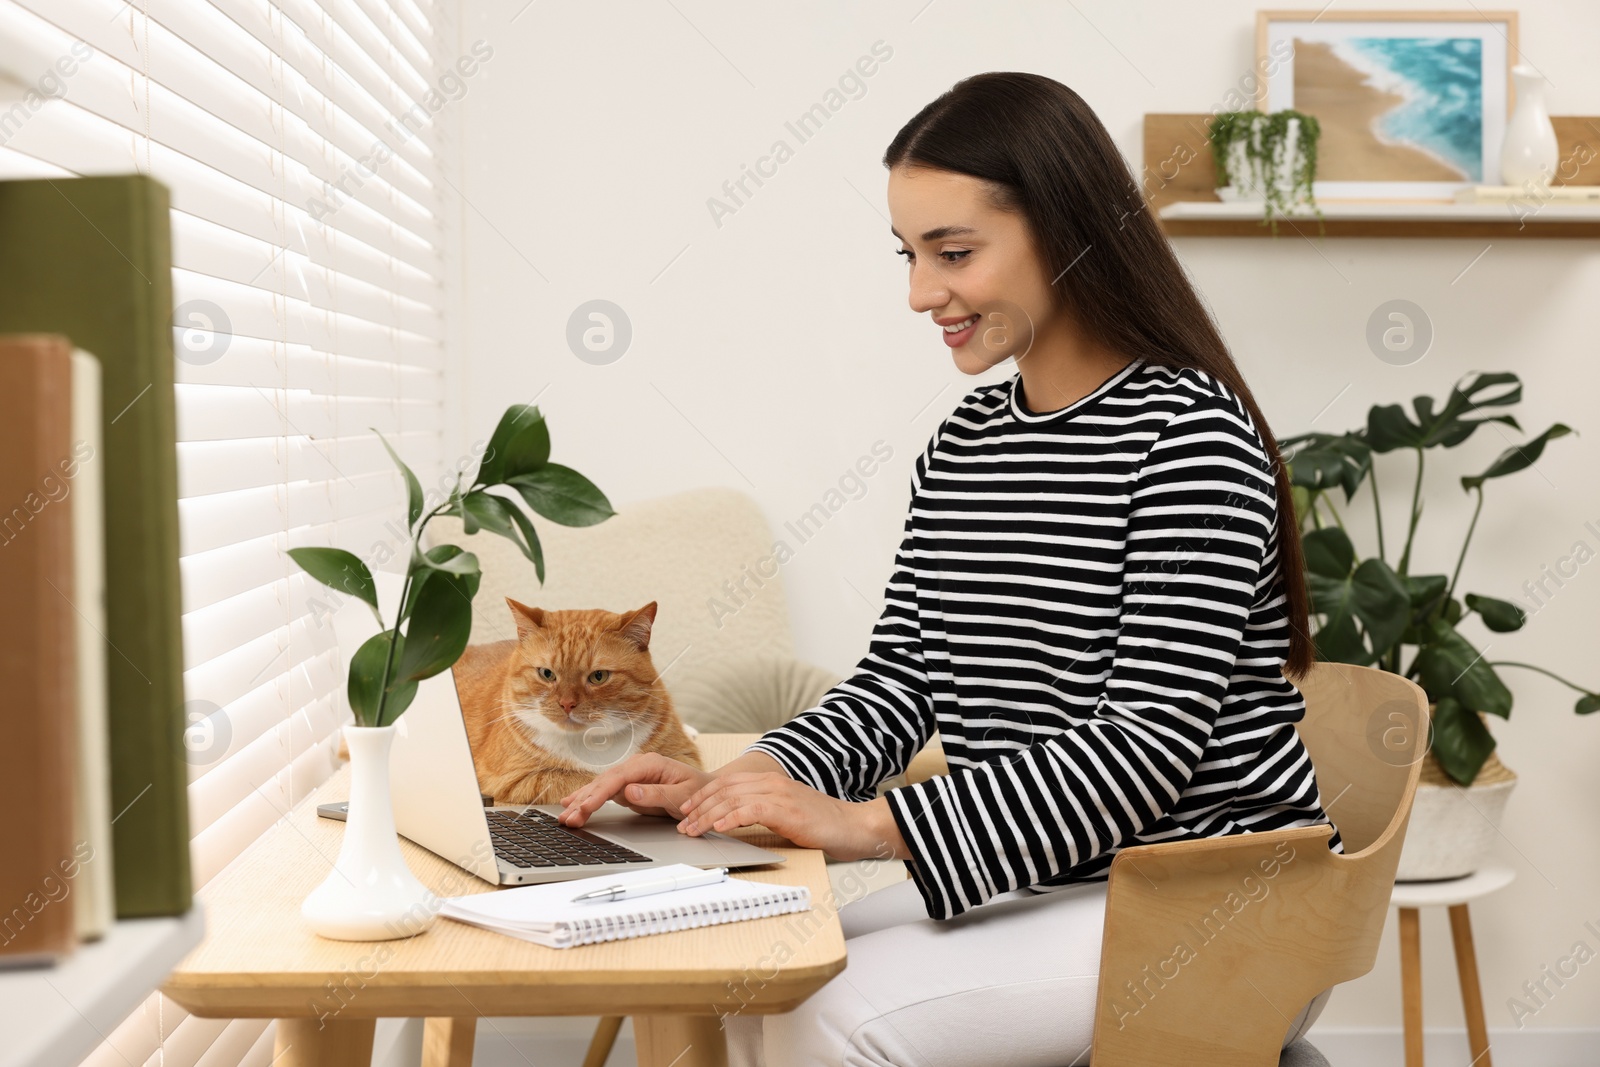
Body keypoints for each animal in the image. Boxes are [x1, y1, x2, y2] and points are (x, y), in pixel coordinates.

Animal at [448, 598, 704, 806]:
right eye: (546, 674)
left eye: (598, 676)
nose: (567, 704)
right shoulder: (511, 779)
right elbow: (580, 780)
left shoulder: (683, 758)